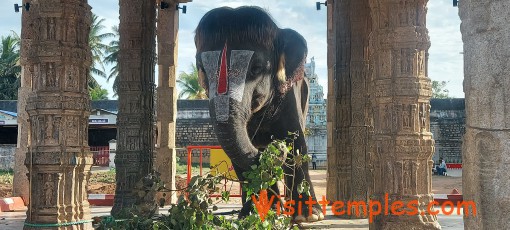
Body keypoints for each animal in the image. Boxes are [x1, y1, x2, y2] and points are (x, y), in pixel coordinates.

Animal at [193, 6, 324, 222]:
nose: (276, 147)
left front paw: (309, 215)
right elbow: (238, 155)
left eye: (256, 69)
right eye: (202, 70)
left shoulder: (290, 96)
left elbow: (296, 143)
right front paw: (255, 213)